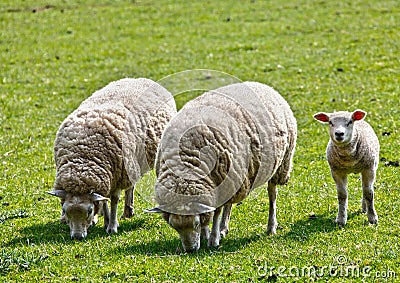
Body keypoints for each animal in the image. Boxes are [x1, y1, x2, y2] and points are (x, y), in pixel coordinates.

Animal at [48, 77, 177, 240]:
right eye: (64, 210)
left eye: (89, 211)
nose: (77, 237)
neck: (83, 158)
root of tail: (140, 79)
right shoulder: (106, 177)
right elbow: (104, 200)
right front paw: (106, 219)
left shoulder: (117, 174)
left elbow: (114, 200)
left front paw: (112, 226)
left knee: (130, 187)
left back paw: (128, 210)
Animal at [147, 81, 296, 253]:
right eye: (173, 226)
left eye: (195, 223)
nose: (190, 250)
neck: (188, 162)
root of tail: (262, 85)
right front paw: (207, 234)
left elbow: (216, 213)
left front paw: (213, 239)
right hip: (234, 176)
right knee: (229, 204)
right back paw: (224, 228)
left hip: (279, 165)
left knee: (272, 195)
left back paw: (271, 227)